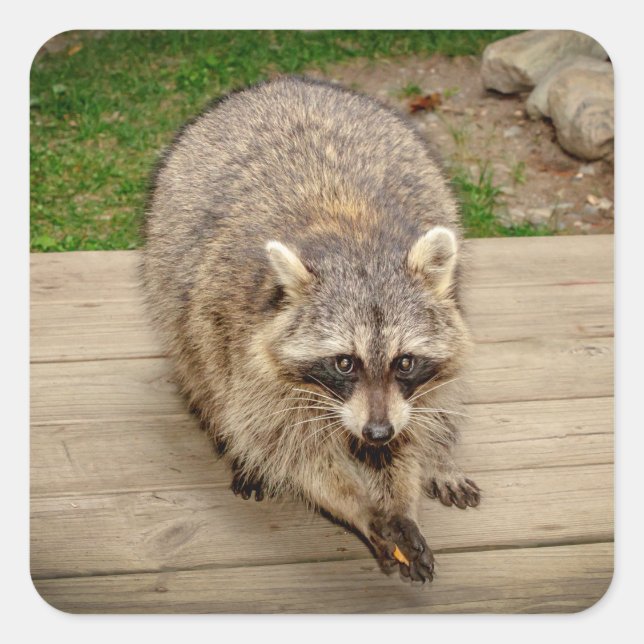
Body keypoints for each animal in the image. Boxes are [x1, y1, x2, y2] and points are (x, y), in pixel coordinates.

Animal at [143, 76, 480, 583]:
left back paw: (440, 457)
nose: (376, 433)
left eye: (405, 361)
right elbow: (287, 446)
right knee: (201, 373)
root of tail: (286, 83)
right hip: (174, 286)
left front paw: (403, 493)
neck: (355, 238)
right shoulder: (242, 343)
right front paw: (360, 506)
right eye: (344, 363)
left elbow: (413, 428)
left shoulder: (410, 389)